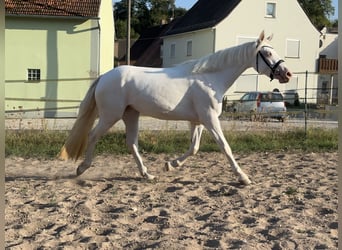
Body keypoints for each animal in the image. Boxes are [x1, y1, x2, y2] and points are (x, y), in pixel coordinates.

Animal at [58, 31, 292, 185]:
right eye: (267, 54)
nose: (287, 74)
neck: (210, 78)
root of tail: (104, 77)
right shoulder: (210, 119)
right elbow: (225, 147)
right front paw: (243, 177)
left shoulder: (198, 121)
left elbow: (194, 148)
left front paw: (170, 165)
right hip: (110, 115)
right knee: (93, 135)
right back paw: (81, 168)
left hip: (130, 115)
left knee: (131, 143)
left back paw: (147, 174)